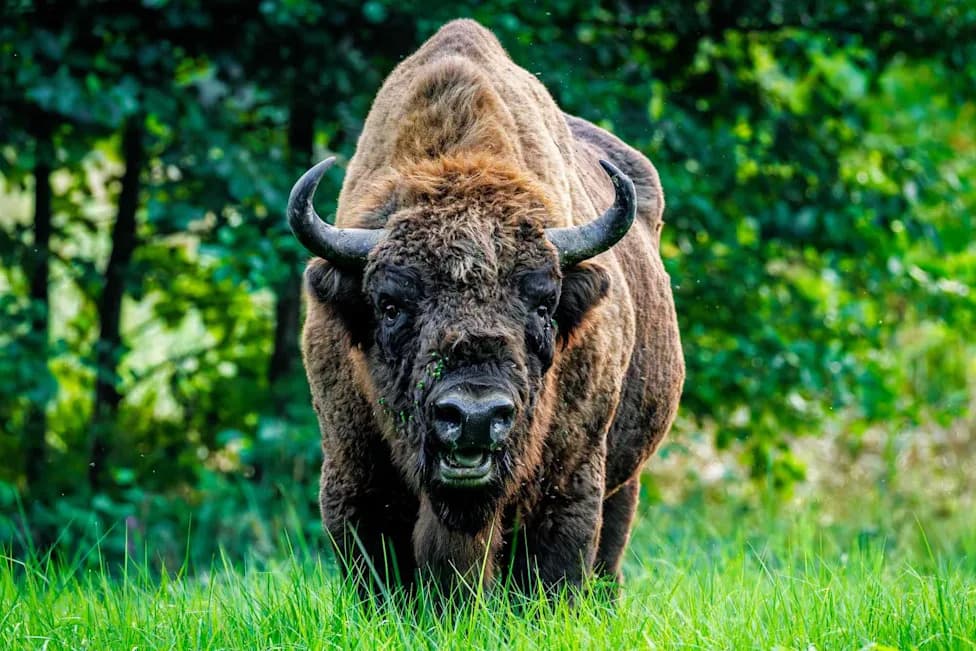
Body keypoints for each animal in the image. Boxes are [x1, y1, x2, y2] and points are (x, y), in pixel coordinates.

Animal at [288, 19, 684, 593]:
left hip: (623, 483)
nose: (474, 416)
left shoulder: (571, 486)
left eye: (543, 303)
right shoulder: (353, 483)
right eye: (390, 305)